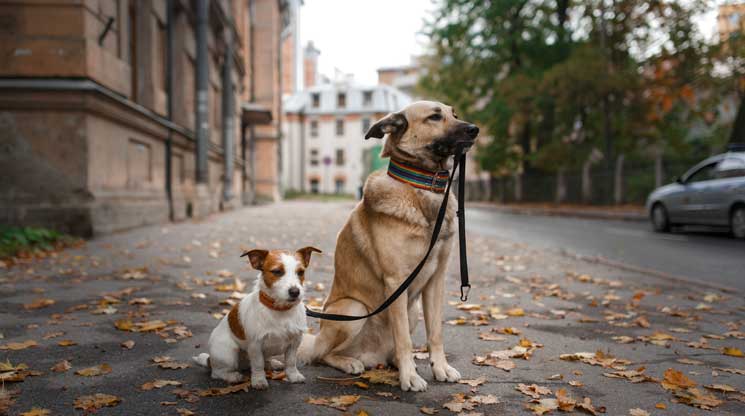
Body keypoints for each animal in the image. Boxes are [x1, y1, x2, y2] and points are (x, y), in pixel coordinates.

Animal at [192, 245, 320, 388]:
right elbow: (258, 364)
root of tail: (209, 360)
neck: (280, 309)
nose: (295, 292)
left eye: (300, 272)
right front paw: (259, 380)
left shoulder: (294, 343)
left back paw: (272, 363)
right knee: (217, 372)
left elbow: (291, 362)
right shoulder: (255, 345)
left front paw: (293, 375)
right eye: (277, 271)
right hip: (228, 353)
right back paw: (232, 376)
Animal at [300, 100, 480, 390]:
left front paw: (439, 368)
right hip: (354, 309)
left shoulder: (435, 282)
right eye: (434, 117)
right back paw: (350, 362)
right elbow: (404, 339)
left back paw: (394, 361)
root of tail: (373, 357)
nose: (475, 129)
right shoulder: (397, 281)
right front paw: (410, 378)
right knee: (323, 354)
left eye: (454, 114)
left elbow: (436, 333)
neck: (422, 188)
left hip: (413, 309)